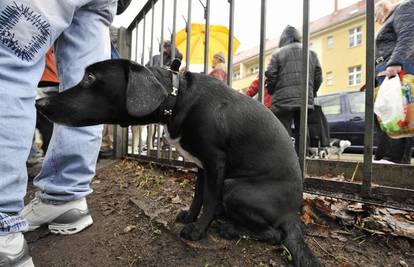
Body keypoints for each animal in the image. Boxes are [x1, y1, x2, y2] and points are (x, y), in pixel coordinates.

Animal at [36, 59, 324, 267]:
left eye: (90, 78)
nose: (39, 101)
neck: (177, 97)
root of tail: (292, 214)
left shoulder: (215, 163)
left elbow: (209, 200)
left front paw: (197, 230)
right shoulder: (201, 166)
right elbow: (199, 197)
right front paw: (190, 217)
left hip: (234, 186)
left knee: (274, 234)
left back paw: (230, 227)